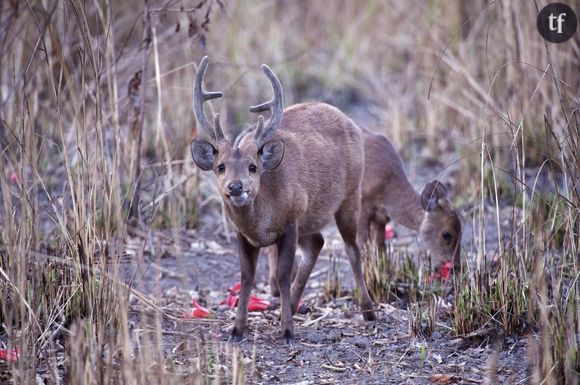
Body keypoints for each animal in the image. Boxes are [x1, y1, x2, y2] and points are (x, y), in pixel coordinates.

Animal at [188, 55, 374, 344]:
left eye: (253, 167)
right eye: (220, 166)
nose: (235, 187)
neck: (262, 222)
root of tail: (348, 120)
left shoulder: (290, 220)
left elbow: (283, 274)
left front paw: (287, 330)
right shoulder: (243, 234)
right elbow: (247, 276)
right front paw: (237, 329)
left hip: (350, 195)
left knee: (352, 249)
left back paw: (368, 311)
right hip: (310, 219)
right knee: (317, 243)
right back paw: (295, 306)